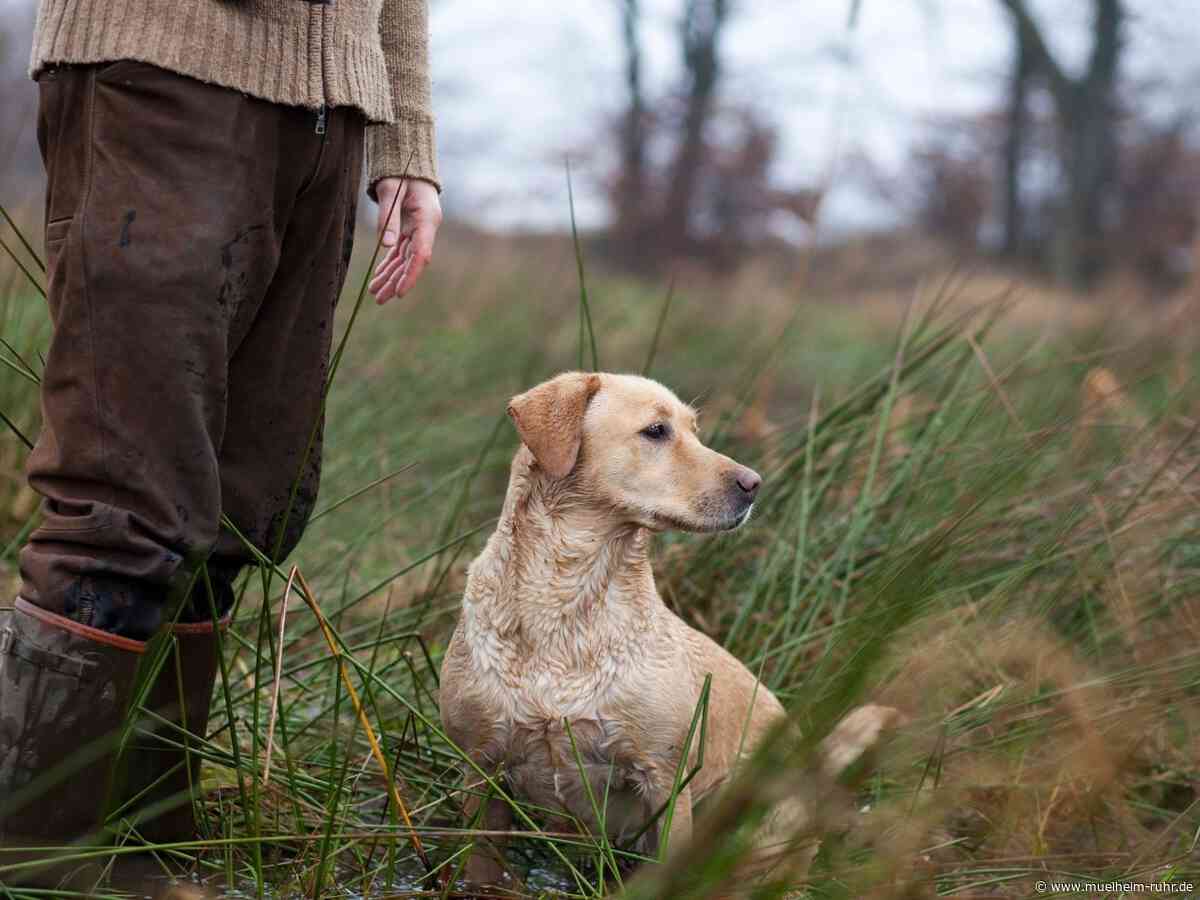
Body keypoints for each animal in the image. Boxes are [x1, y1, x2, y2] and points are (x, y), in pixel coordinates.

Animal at [441, 374, 902, 888]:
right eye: (657, 430)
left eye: (695, 430)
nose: (754, 483)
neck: (565, 599)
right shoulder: (482, 770)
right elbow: (481, 867)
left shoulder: (665, 780)